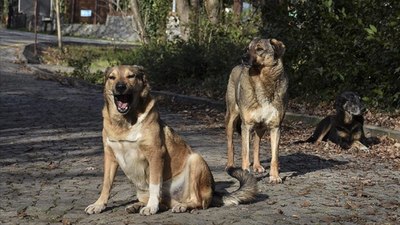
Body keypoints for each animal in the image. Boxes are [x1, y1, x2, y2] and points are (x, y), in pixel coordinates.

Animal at [86, 65, 258, 216]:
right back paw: (137, 205)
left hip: (195, 160)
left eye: (131, 76)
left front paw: (151, 207)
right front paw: (99, 205)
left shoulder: (155, 154)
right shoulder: (110, 156)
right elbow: (106, 184)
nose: (120, 86)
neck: (125, 122)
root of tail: (214, 192)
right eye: (112, 77)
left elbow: (155, 184)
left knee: (198, 202)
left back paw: (181, 206)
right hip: (142, 190)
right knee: (164, 203)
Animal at [225, 38, 288, 183]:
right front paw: (245, 173)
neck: (262, 80)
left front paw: (274, 176)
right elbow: (245, 152)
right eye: (247, 49)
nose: (243, 57)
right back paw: (230, 166)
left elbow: (274, 157)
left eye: (259, 49)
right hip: (231, 118)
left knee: (256, 144)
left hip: (261, 127)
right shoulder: (246, 126)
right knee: (231, 144)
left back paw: (257, 166)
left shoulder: (275, 127)